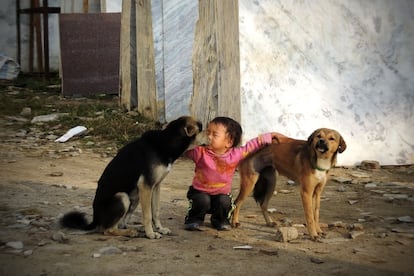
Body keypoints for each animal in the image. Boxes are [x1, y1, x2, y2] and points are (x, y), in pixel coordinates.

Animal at [61, 115, 202, 238]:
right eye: (202, 128)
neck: (166, 142)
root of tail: (95, 219)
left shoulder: (156, 186)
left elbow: (155, 211)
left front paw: (159, 229)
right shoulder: (146, 186)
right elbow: (148, 215)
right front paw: (151, 234)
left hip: (136, 196)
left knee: (122, 223)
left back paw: (136, 228)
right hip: (122, 197)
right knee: (108, 230)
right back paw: (130, 232)